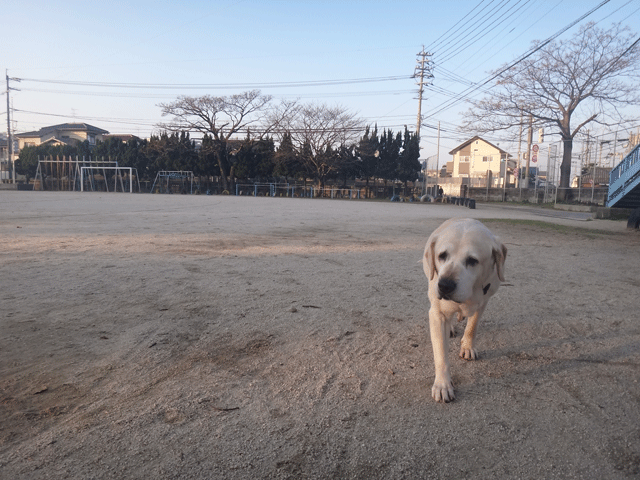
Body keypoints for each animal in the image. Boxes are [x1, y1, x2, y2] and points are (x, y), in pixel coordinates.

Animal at [422, 218, 508, 402]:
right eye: (442, 256)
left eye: (472, 260)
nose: (445, 285)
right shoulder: (437, 314)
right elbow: (441, 354)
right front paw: (442, 384)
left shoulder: (483, 302)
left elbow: (472, 327)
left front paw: (468, 346)